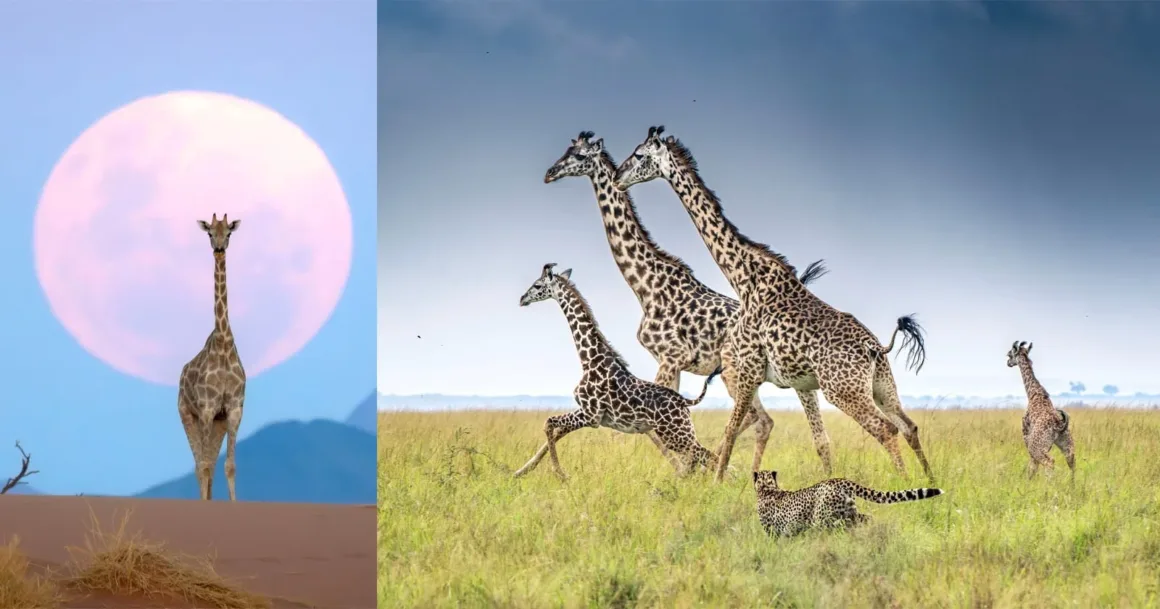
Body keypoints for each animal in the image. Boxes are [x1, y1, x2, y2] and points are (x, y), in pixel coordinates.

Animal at [512, 263, 719, 480]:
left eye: (537, 285)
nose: (522, 299)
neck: (589, 359)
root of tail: (685, 401)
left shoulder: (590, 415)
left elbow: (549, 423)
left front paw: (560, 474)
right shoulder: (589, 414)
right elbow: (553, 428)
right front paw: (524, 471)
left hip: (675, 434)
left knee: (709, 457)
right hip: (680, 433)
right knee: (703, 458)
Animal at [544, 130, 832, 472]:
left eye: (578, 156)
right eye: (567, 150)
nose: (549, 173)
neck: (646, 285)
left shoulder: (670, 358)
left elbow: (653, 425)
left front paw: (684, 470)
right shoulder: (672, 363)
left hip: (738, 374)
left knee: (760, 420)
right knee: (787, 426)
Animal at [615, 126, 933, 484]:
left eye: (639, 155)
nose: (617, 177)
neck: (743, 278)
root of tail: (875, 347)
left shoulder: (747, 368)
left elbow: (731, 430)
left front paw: (716, 483)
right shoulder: (781, 379)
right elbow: (800, 437)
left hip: (843, 390)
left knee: (885, 429)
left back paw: (905, 484)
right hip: (882, 385)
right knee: (908, 426)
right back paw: (931, 483)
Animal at [1007, 341, 1076, 481]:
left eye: (1009, 354)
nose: (1008, 363)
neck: (1033, 393)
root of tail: (1058, 425)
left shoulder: (1026, 434)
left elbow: (1032, 465)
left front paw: (1028, 481)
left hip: (1036, 447)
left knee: (1049, 461)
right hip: (1067, 444)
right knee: (1071, 462)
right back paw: (1072, 485)